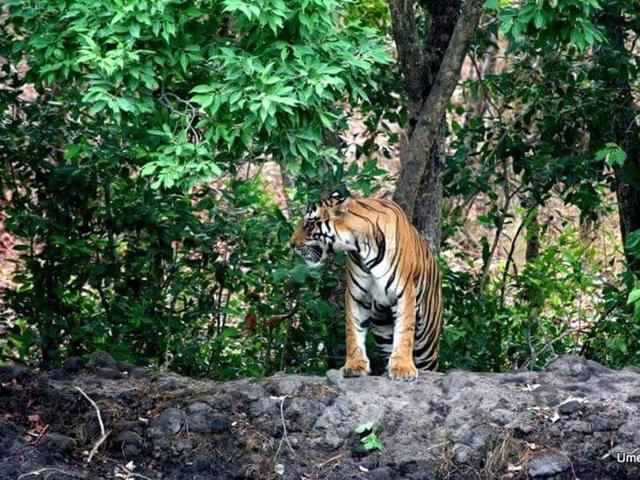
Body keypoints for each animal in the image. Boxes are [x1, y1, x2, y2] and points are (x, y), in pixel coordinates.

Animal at [288, 189, 443, 381]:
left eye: (309, 224)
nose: (291, 244)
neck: (362, 245)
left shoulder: (404, 293)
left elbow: (404, 331)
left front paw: (402, 368)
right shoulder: (356, 295)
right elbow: (353, 330)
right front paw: (355, 366)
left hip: (426, 341)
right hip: (383, 328)